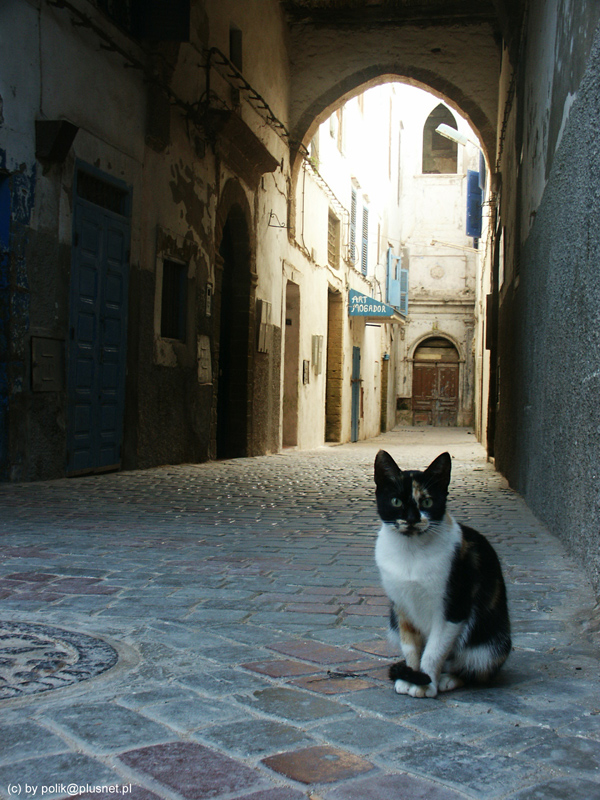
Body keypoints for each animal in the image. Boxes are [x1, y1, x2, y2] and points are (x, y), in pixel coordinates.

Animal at [376, 450, 510, 700]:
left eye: (427, 502)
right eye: (396, 501)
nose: (412, 519)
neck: (411, 553)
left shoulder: (453, 608)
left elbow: (434, 651)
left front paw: (425, 684)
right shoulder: (401, 608)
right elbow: (411, 647)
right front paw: (411, 676)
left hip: (490, 644)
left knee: (474, 668)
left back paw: (449, 679)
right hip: (392, 622)